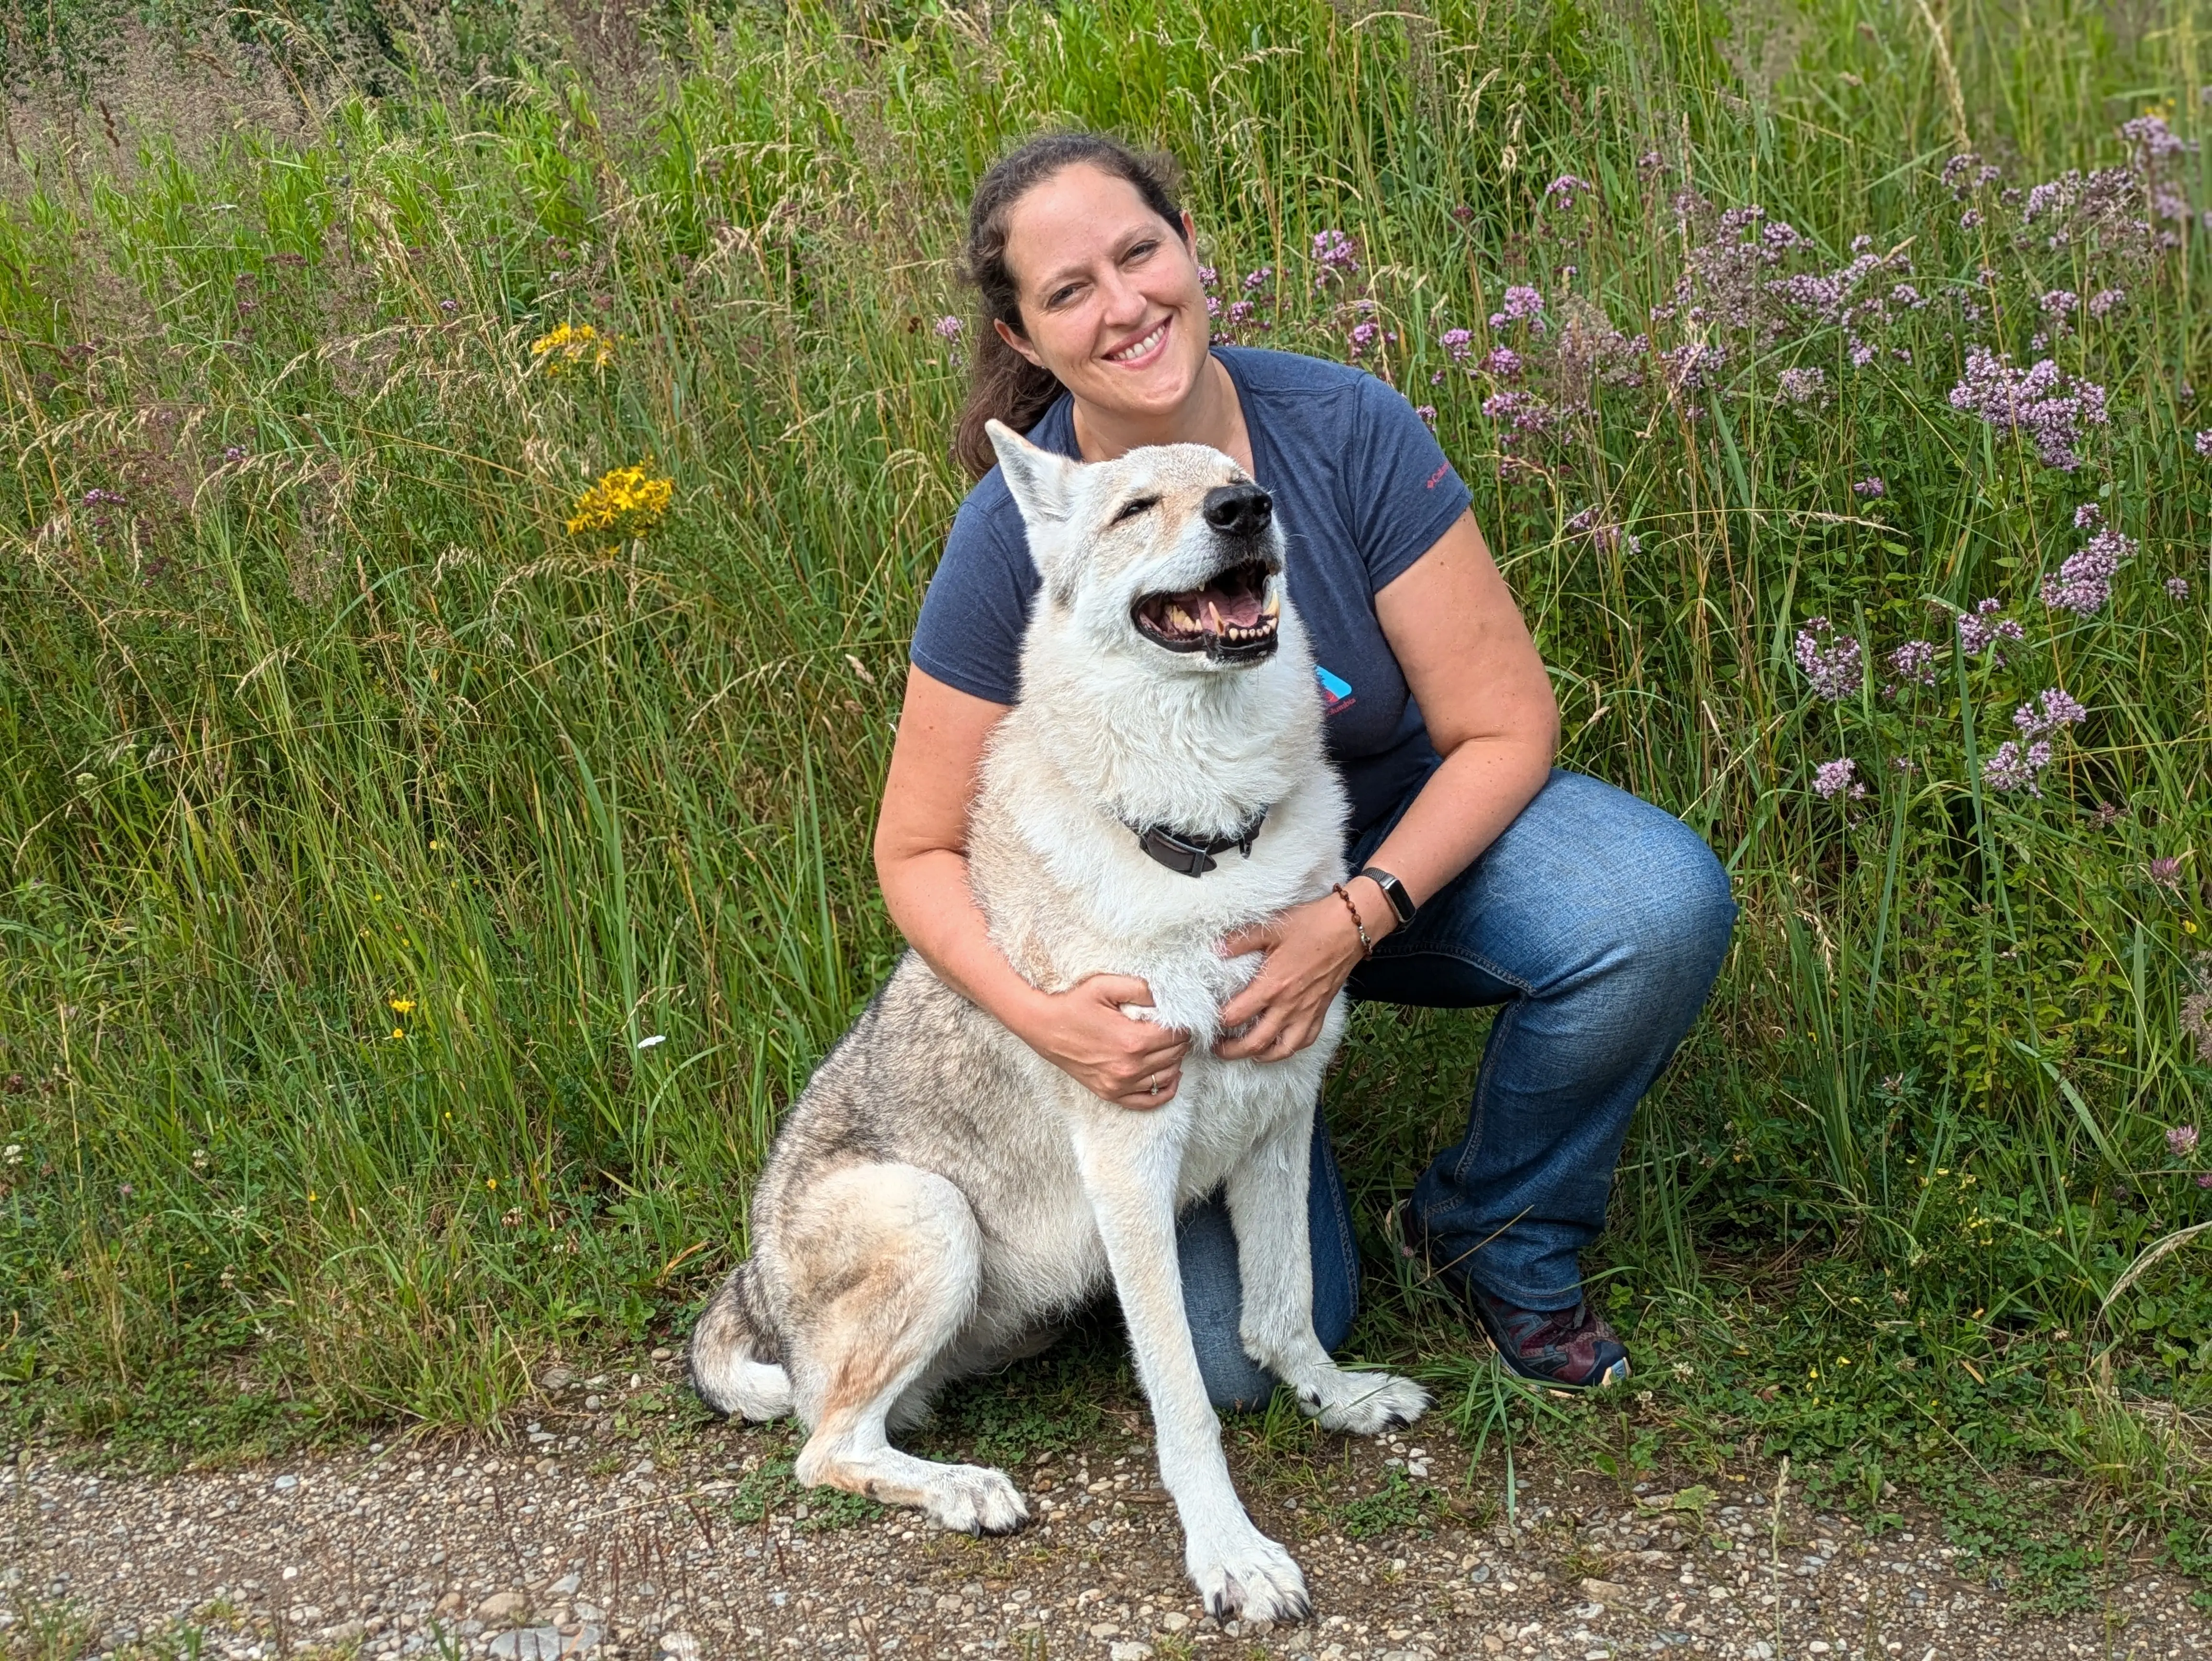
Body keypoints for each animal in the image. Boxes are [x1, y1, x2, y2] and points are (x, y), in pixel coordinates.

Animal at [681, 418, 1424, 1628]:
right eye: (1137, 508)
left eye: (1235, 484)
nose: (1246, 510)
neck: (1209, 837)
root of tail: (751, 1277)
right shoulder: (1131, 1166)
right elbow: (1188, 1401)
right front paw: (1230, 1555)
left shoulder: (1279, 1115)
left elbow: (1283, 1310)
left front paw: (1339, 1399)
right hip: (932, 1218)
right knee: (821, 1444)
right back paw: (965, 1490)